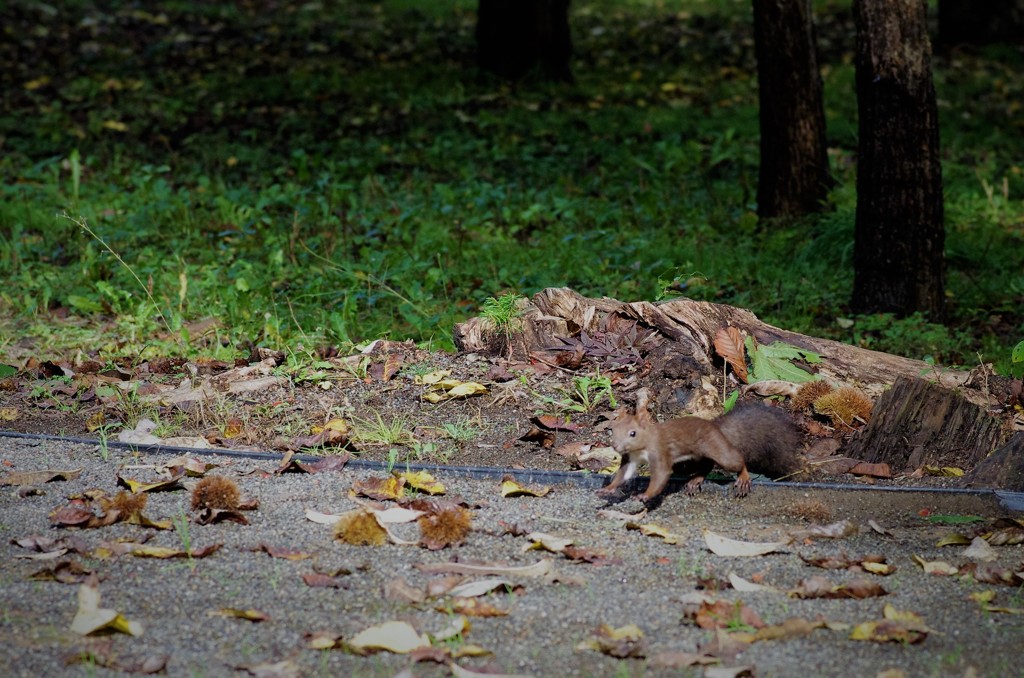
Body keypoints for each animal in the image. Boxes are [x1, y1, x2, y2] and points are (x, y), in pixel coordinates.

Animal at [598, 403, 802, 503]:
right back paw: (696, 479)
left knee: (737, 460)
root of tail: (717, 428)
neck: (640, 449)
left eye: (633, 433)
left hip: (719, 451)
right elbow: (623, 475)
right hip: (697, 457)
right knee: (706, 465)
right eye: (613, 429)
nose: (616, 446)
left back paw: (743, 477)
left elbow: (661, 476)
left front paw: (645, 495)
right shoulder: (630, 459)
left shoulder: (660, 452)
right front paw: (608, 489)